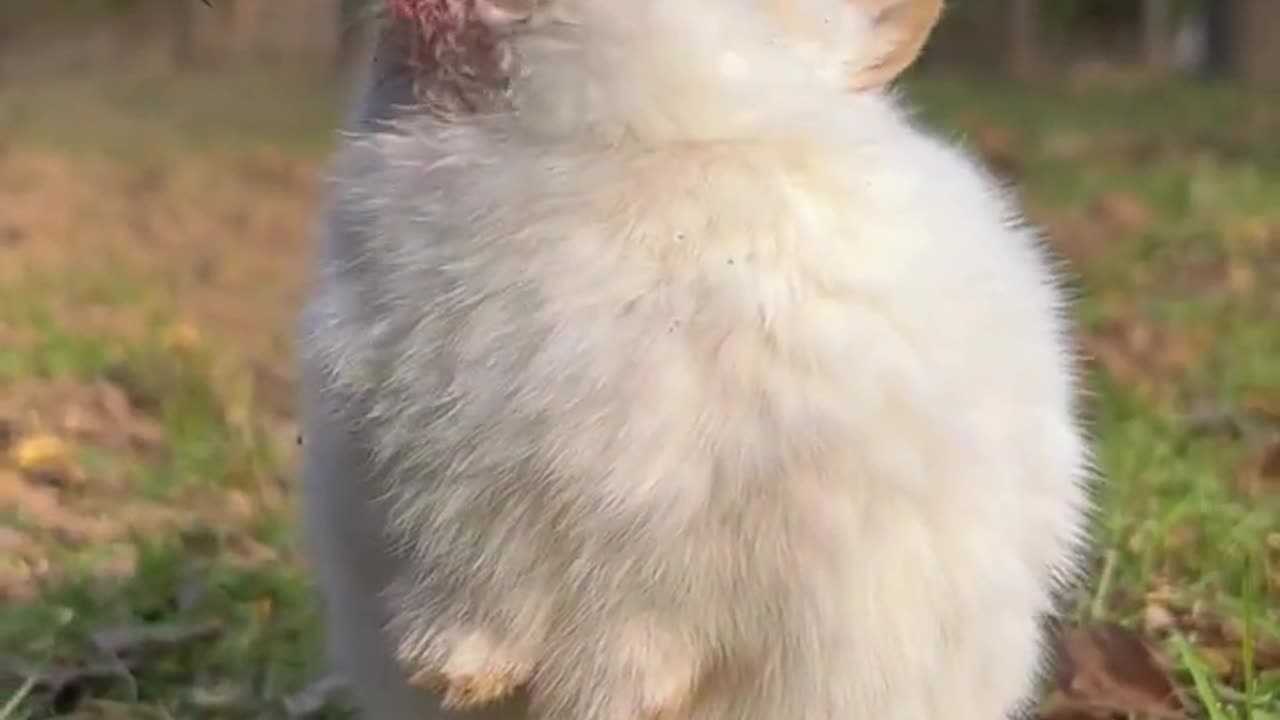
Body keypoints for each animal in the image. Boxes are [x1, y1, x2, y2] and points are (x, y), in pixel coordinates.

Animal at [296, 1, 1090, 717]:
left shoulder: (687, 530)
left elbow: (647, 631)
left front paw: (619, 699)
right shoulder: (430, 509)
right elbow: (471, 604)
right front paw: (454, 676)